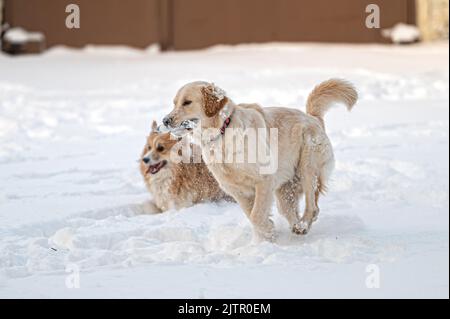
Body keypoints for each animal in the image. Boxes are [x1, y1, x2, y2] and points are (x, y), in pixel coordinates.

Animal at [163, 79, 356, 240]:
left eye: (187, 102)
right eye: (174, 103)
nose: (165, 120)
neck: (222, 133)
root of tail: (313, 118)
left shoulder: (264, 180)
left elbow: (256, 215)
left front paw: (265, 235)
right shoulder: (236, 190)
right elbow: (251, 214)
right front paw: (266, 235)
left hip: (308, 167)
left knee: (313, 206)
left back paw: (302, 226)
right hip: (286, 188)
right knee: (290, 210)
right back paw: (296, 228)